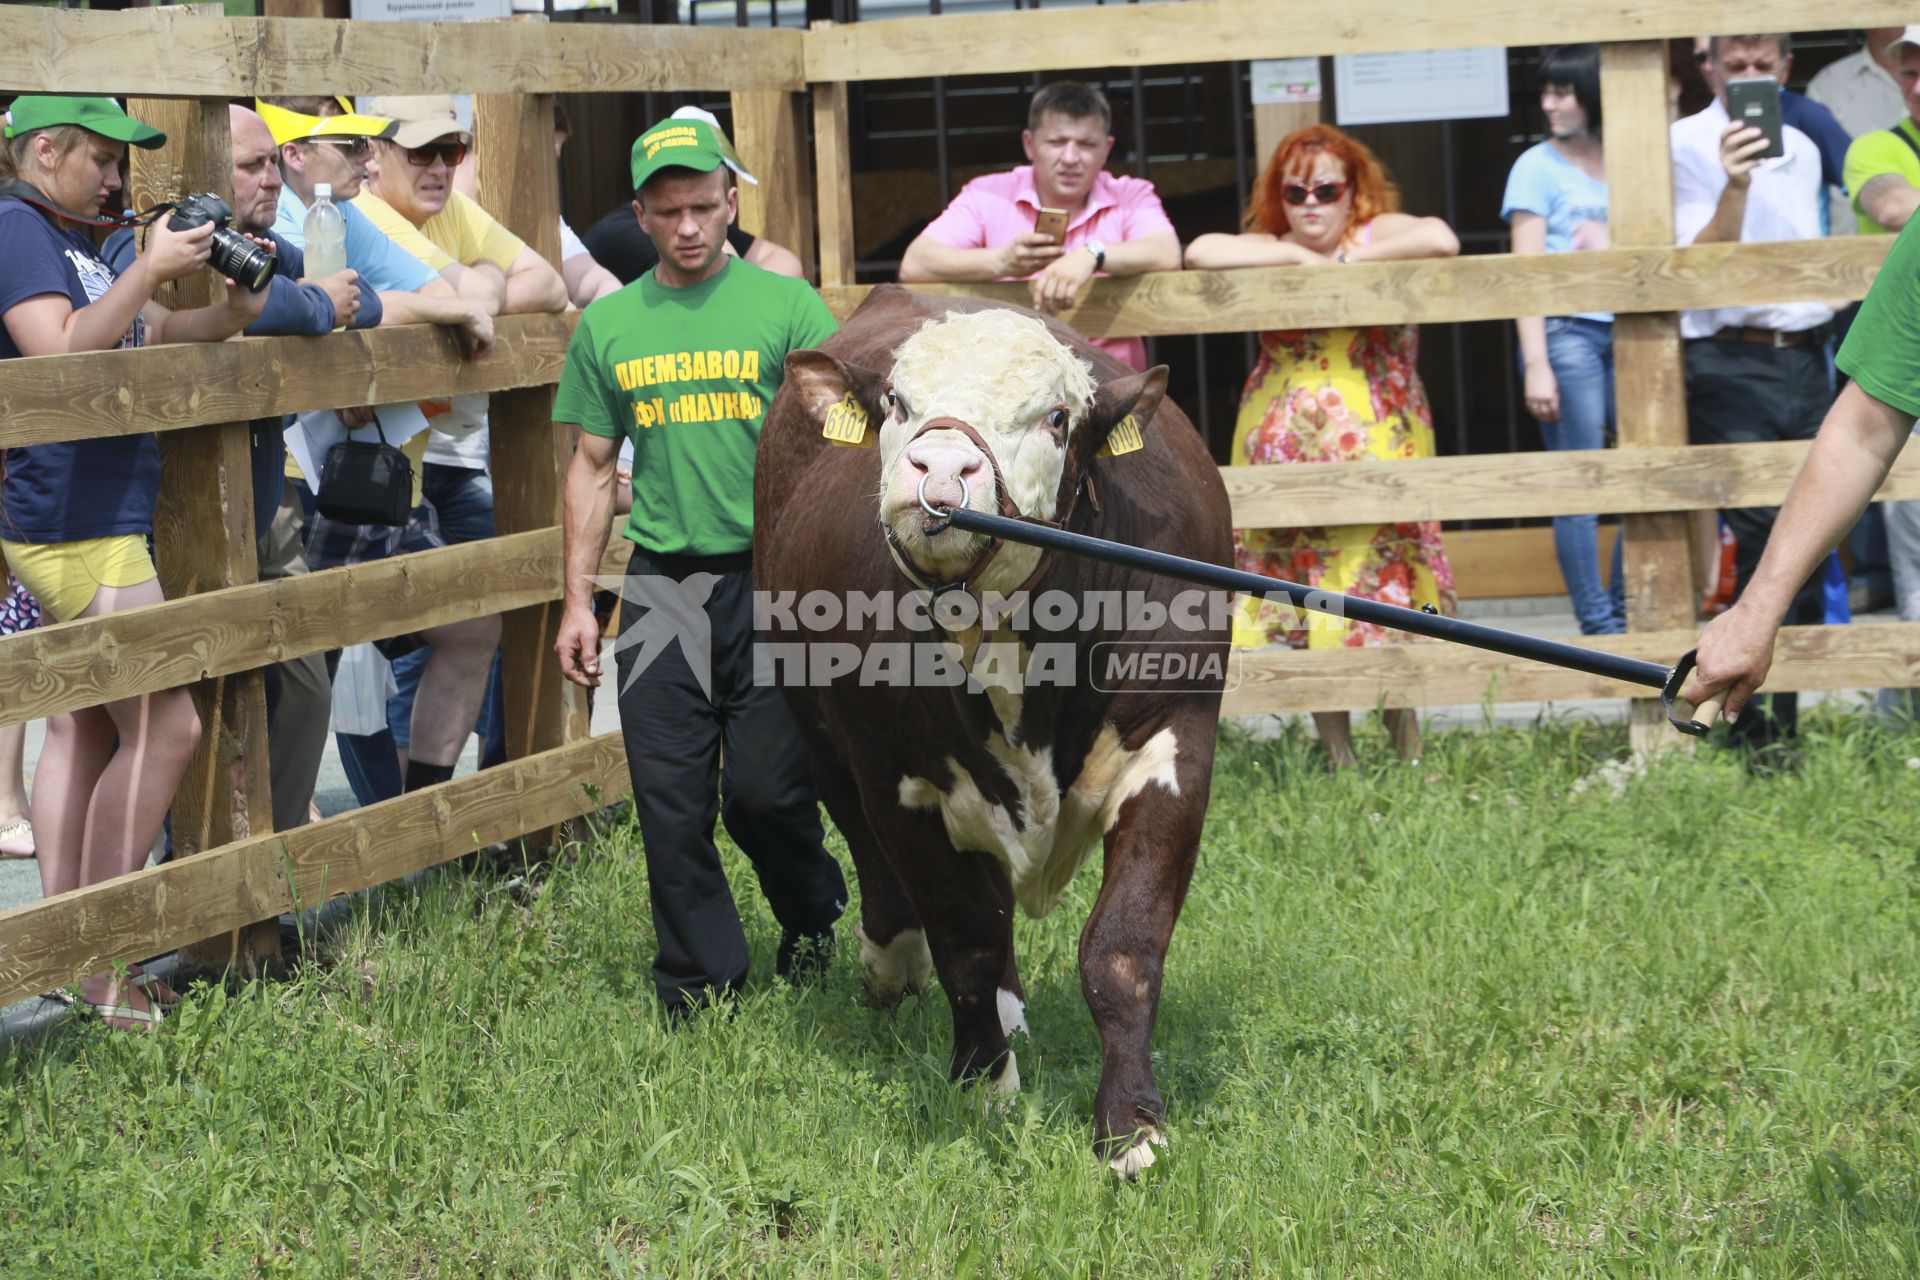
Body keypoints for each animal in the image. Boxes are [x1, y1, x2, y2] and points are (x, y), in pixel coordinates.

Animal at [752, 287, 1228, 1174]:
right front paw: (984, 1087)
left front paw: (1130, 1126)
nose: (940, 469)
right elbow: (963, 937)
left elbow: (1123, 945)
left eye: (1054, 417)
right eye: (897, 403)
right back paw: (896, 966)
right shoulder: (899, 775)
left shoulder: (1174, 741)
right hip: (819, 727)